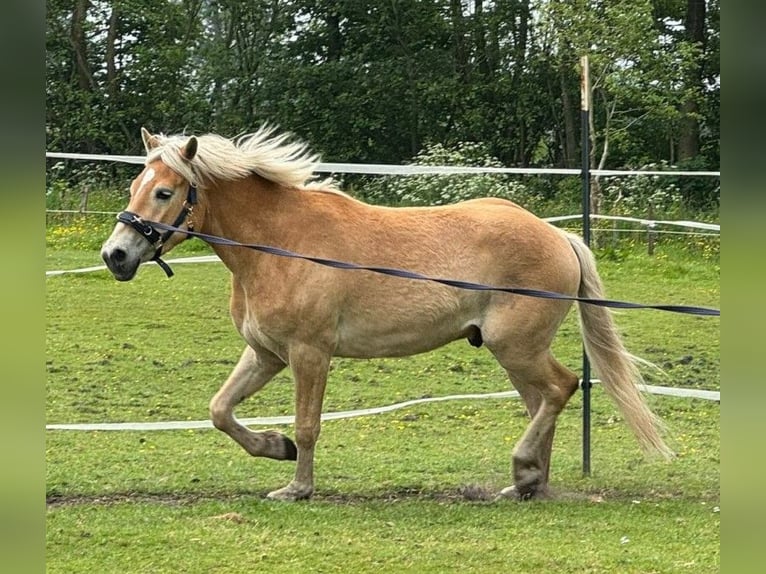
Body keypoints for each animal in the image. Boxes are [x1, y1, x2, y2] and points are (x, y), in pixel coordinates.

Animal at [102, 127, 672, 504]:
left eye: (164, 192)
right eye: (134, 187)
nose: (115, 255)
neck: (279, 246)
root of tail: (558, 235)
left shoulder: (310, 353)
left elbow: (308, 425)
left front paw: (297, 486)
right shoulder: (266, 353)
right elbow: (221, 409)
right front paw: (275, 447)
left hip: (517, 346)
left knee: (561, 388)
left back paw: (525, 472)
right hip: (515, 353)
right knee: (542, 400)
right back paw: (529, 483)